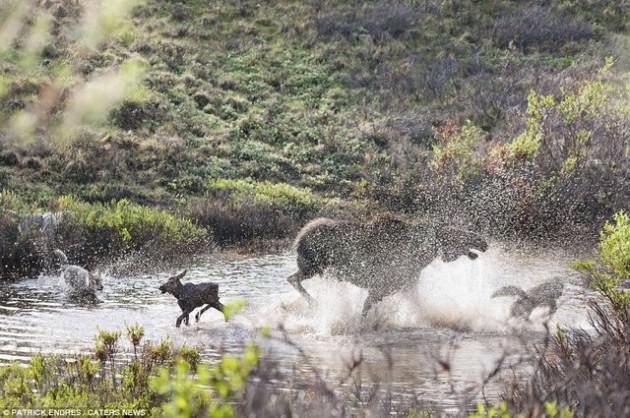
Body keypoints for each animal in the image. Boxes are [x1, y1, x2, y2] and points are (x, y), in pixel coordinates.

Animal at [288, 216, 492, 316]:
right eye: (454, 233)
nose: (482, 241)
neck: (421, 256)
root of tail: (298, 239)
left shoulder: (404, 286)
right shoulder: (381, 287)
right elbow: (365, 311)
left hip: (314, 269)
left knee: (292, 278)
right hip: (314, 267)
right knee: (292, 279)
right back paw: (314, 303)